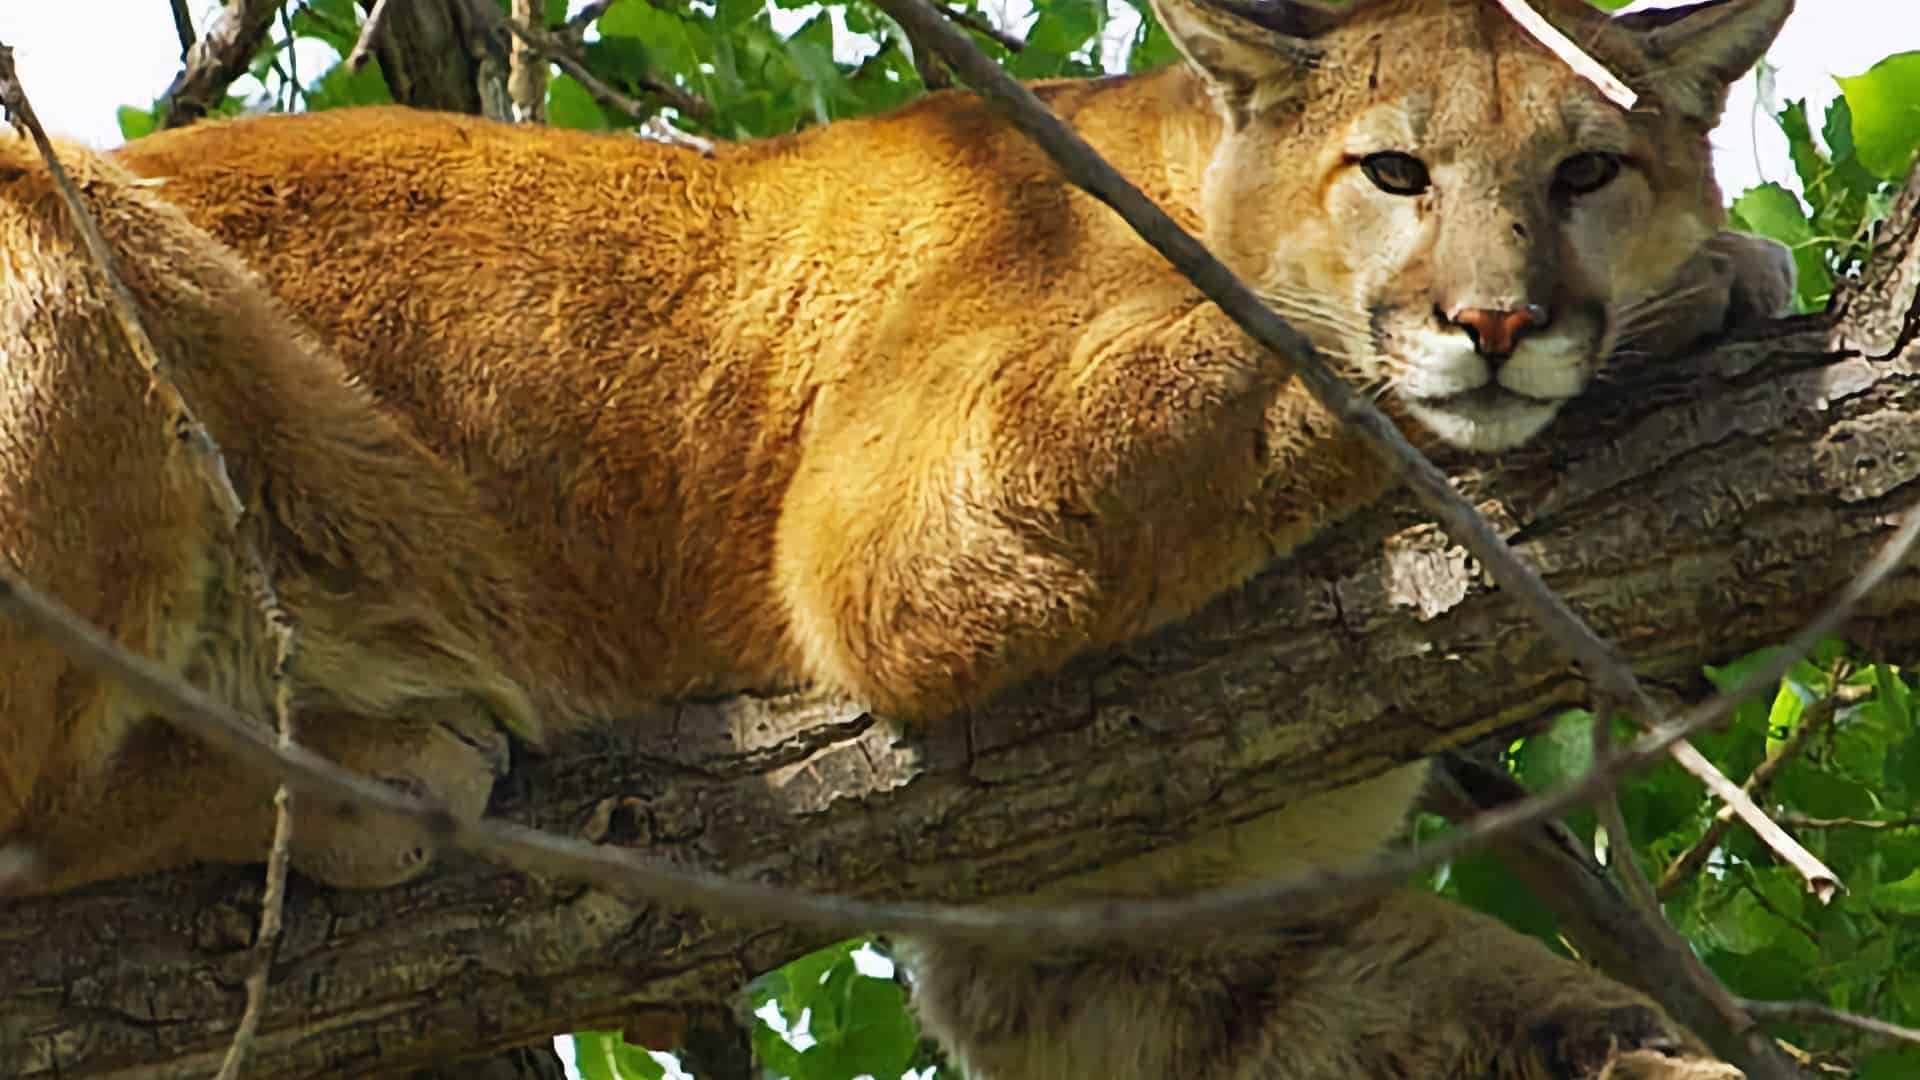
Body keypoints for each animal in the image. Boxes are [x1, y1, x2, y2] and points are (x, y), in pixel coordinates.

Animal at [0, 0, 1792, 1075]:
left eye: (1589, 169)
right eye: (1396, 171)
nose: (1501, 321)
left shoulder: (1163, 948)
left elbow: (1567, 1018)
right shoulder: (902, 527)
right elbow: (1296, 348)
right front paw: (1702, 288)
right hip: (76, 243)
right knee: (32, 825)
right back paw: (374, 770)